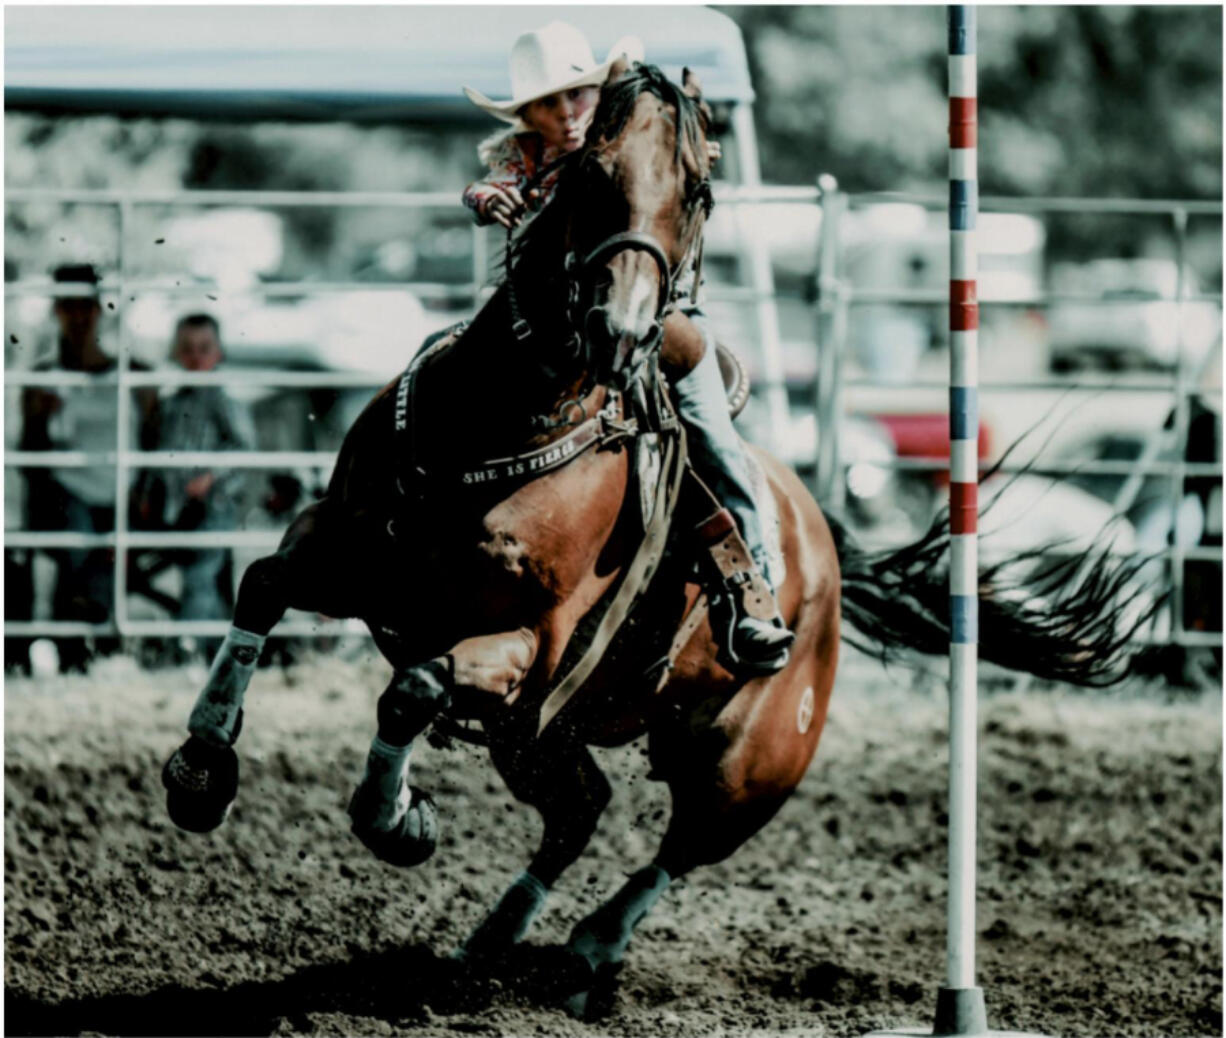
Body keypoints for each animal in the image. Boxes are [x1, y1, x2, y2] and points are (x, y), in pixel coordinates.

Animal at [158, 60, 1142, 1019]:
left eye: (700, 189)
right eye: (590, 173)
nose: (623, 330)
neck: (498, 423)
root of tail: (823, 548)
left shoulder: (532, 647)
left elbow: (413, 688)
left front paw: (396, 820)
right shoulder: (352, 553)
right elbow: (262, 585)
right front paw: (202, 770)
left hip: (747, 766)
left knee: (679, 846)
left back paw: (591, 946)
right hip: (538, 739)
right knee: (580, 811)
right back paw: (489, 944)